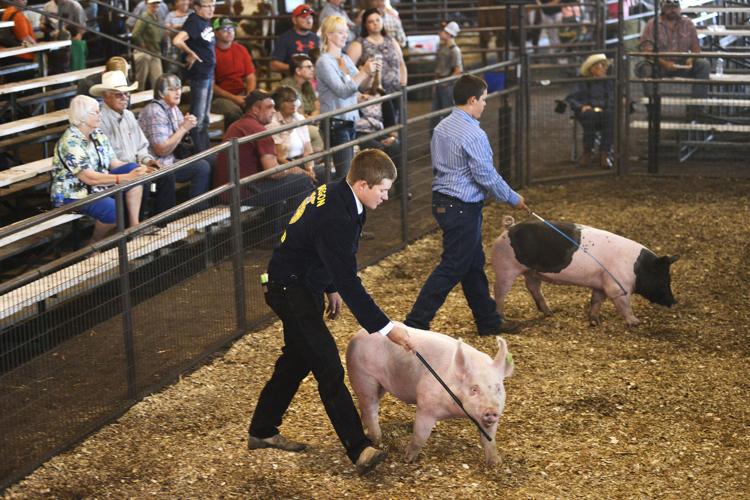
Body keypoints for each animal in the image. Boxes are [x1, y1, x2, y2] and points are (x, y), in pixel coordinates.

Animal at [348, 328, 516, 464]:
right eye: (474, 389)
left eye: (498, 388)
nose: (491, 411)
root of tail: (357, 335)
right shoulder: (426, 406)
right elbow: (420, 436)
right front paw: (407, 459)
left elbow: (489, 439)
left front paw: (496, 463)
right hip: (364, 377)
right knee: (370, 408)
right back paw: (377, 441)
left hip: (380, 386)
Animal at [494, 216, 680, 328]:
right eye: (663, 278)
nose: (674, 301)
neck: (636, 268)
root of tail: (508, 228)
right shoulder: (617, 287)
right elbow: (625, 305)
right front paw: (635, 322)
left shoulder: (600, 284)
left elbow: (596, 301)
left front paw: (595, 322)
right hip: (505, 267)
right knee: (499, 293)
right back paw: (502, 318)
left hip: (532, 271)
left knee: (533, 287)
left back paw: (549, 312)